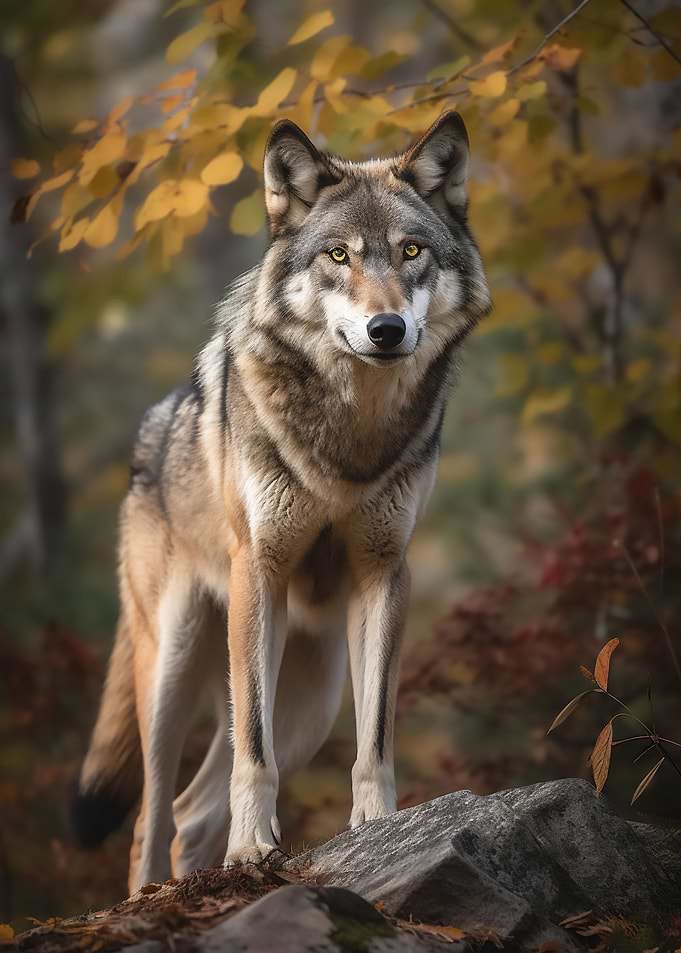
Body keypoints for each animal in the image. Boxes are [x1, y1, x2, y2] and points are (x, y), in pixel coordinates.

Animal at [72, 110, 491, 893]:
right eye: (337, 255)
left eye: (411, 250)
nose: (387, 329)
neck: (350, 432)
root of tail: (149, 436)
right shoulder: (258, 569)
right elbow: (252, 752)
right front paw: (250, 850)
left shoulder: (385, 572)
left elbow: (375, 738)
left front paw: (377, 830)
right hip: (173, 662)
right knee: (152, 813)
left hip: (311, 702)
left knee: (191, 811)